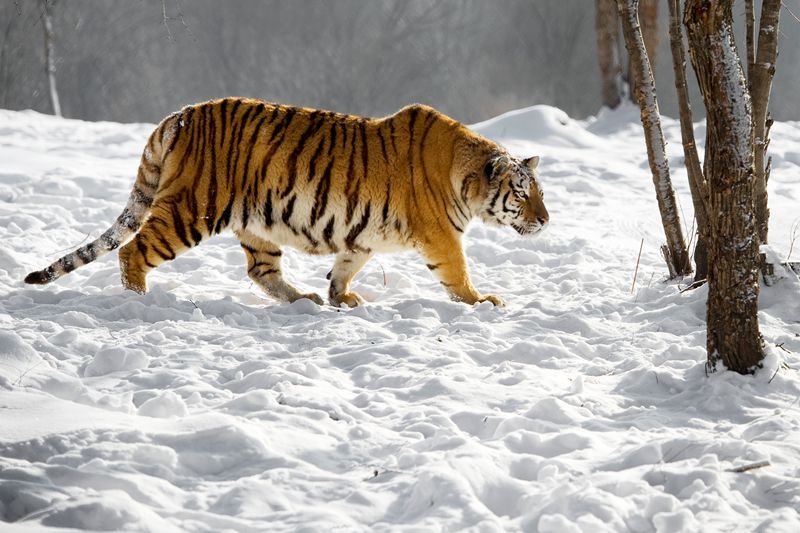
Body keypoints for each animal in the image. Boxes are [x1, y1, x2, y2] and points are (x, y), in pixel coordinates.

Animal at [25, 99, 552, 306]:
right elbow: (457, 271)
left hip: (258, 224)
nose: (546, 221)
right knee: (134, 250)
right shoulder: (441, 235)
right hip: (191, 209)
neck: (467, 177)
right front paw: (482, 301)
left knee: (261, 271)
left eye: (540, 193)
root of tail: (177, 117)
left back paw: (304, 299)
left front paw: (341, 297)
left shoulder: (363, 236)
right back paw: (139, 298)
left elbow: (346, 265)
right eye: (523, 194)